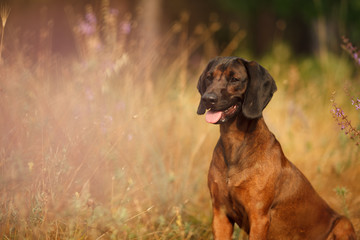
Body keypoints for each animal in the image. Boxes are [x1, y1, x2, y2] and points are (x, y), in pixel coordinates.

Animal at [197, 56, 358, 240]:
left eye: (234, 79)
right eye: (209, 77)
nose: (208, 98)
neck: (234, 144)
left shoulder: (258, 217)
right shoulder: (220, 214)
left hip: (343, 223)